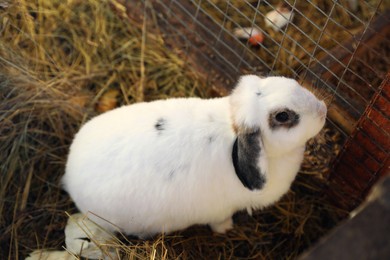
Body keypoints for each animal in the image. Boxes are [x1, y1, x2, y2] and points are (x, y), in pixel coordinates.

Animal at [62, 75, 328, 238]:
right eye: (283, 116)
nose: (323, 110)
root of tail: (69, 176)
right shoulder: (221, 210)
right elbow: (220, 222)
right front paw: (227, 230)